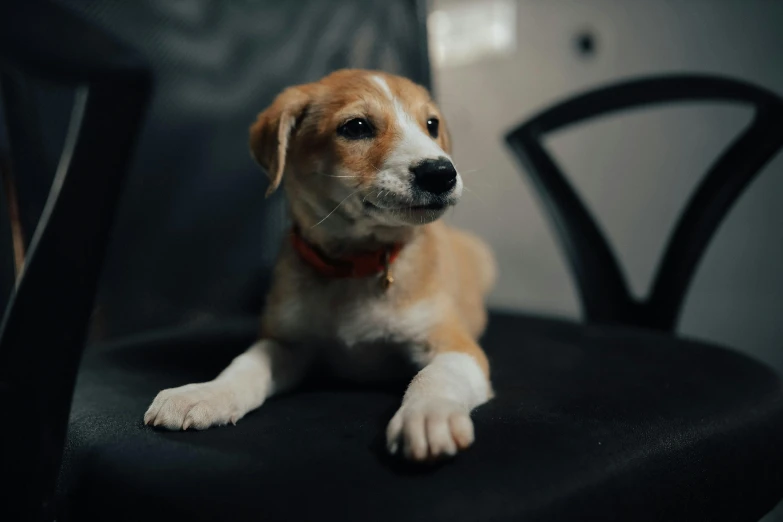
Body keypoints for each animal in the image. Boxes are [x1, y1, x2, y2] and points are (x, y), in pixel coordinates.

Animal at [143, 69, 496, 460]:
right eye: (356, 127)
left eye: (431, 124)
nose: (441, 173)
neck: (354, 266)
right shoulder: (285, 342)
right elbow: (243, 367)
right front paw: (203, 393)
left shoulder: (454, 345)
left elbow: (435, 376)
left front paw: (429, 415)